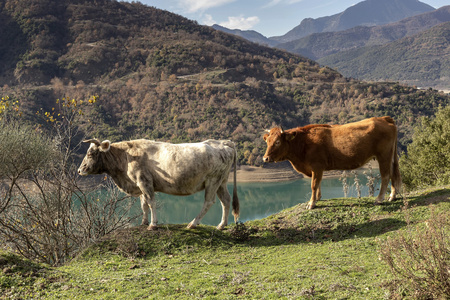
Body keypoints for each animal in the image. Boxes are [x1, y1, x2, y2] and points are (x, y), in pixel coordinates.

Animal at [78, 138, 239, 230]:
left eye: (90, 154)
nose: (80, 170)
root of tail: (225, 142)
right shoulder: (139, 185)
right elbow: (143, 204)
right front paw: (143, 222)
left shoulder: (144, 181)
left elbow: (151, 202)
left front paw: (152, 224)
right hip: (222, 181)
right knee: (226, 200)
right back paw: (221, 225)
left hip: (213, 180)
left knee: (209, 202)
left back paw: (193, 223)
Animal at [262, 116, 402, 210]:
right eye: (267, 141)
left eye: (277, 142)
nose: (265, 158)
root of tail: (383, 118)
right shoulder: (317, 169)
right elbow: (318, 183)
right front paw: (318, 198)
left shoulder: (316, 166)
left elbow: (314, 184)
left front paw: (311, 203)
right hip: (390, 156)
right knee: (393, 173)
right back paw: (392, 196)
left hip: (383, 156)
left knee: (385, 176)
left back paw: (379, 199)